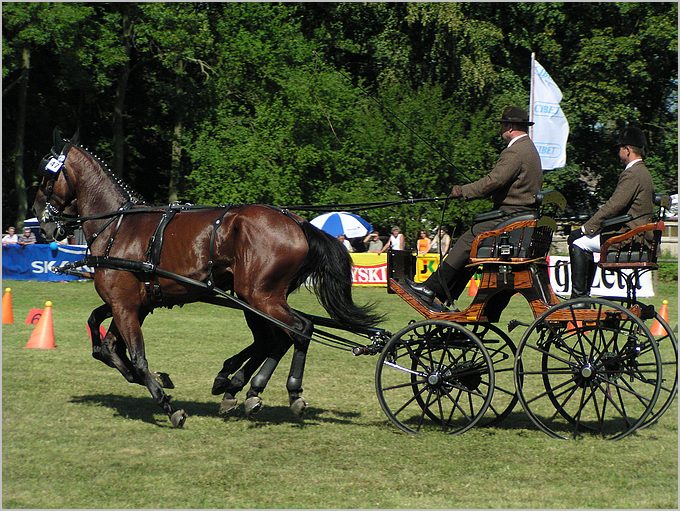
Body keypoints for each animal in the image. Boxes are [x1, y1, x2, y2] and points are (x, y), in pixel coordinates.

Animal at [31, 132, 380, 428]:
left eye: (47, 176)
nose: (41, 221)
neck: (117, 227)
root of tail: (299, 223)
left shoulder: (124, 306)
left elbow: (136, 358)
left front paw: (168, 405)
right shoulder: (131, 305)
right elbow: (103, 342)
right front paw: (160, 380)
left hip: (259, 296)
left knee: (298, 330)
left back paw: (282, 390)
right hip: (253, 298)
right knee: (276, 339)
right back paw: (239, 387)